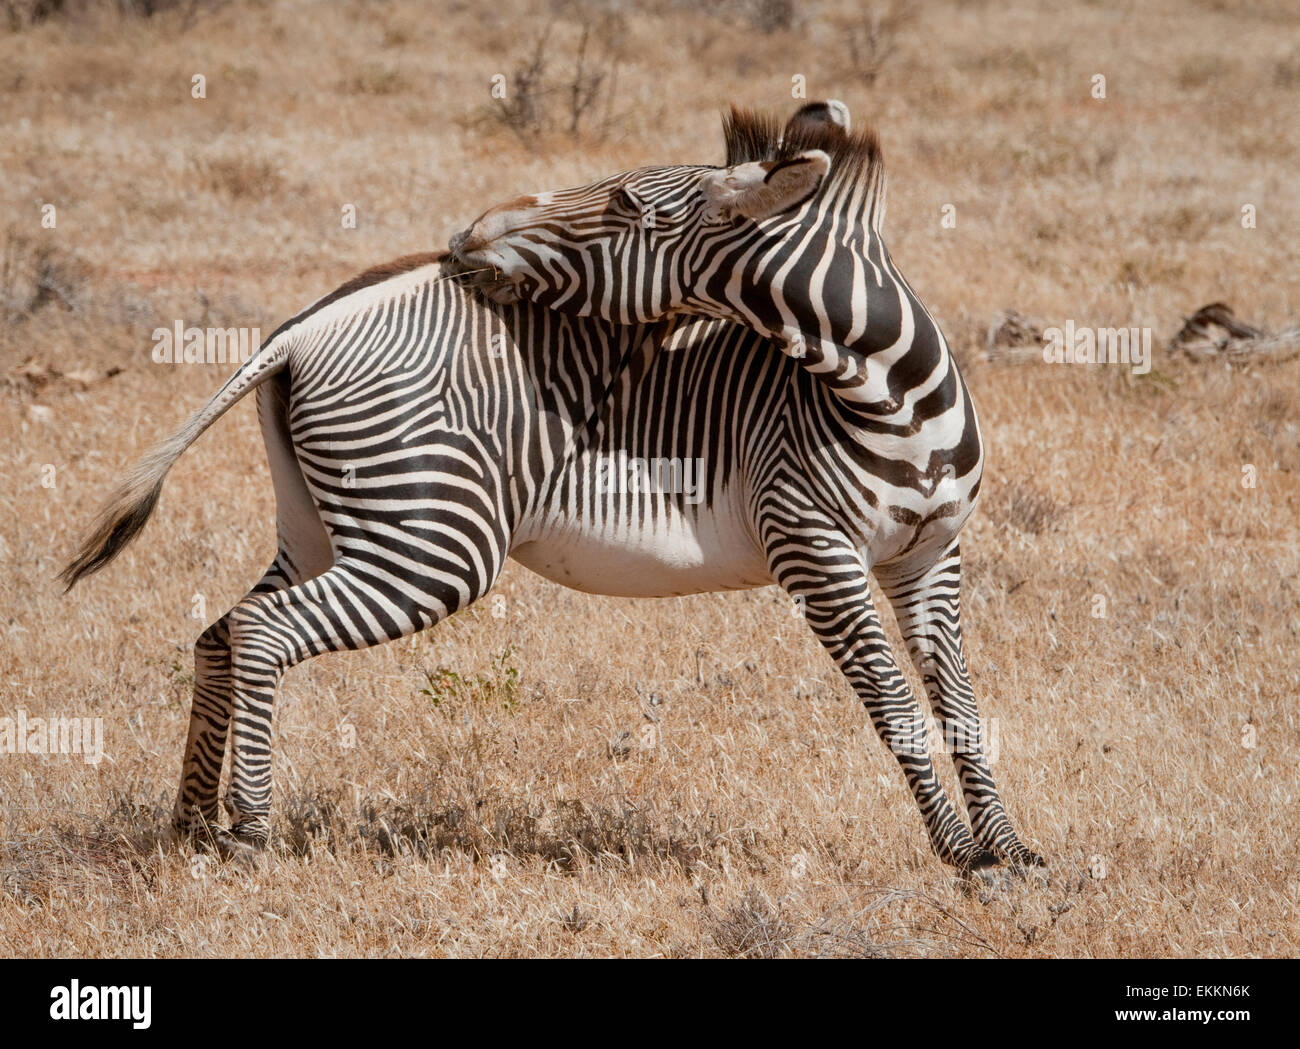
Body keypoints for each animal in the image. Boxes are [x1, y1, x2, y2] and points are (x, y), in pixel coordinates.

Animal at [63, 102, 967, 863]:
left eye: (628, 204)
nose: (467, 232)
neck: (888, 392)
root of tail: (299, 332)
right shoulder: (814, 550)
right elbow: (898, 706)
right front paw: (965, 858)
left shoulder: (931, 556)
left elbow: (956, 701)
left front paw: (994, 849)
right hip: (431, 542)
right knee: (259, 629)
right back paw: (249, 831)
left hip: (324, 528)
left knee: (219, 630)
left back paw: (189, 823)